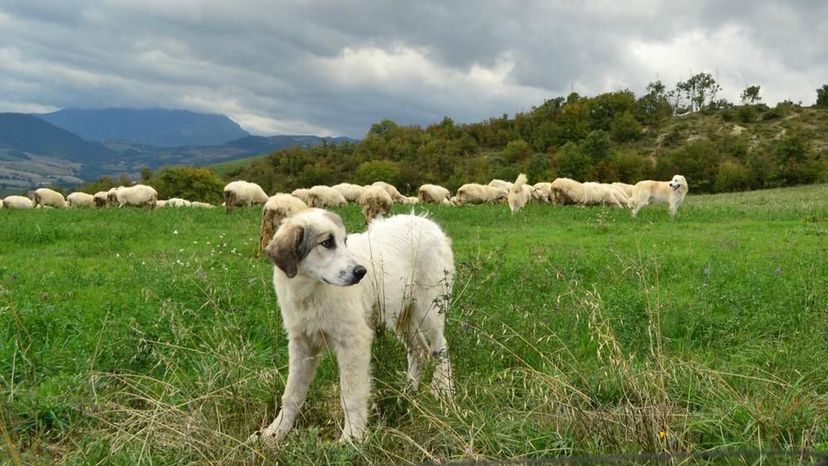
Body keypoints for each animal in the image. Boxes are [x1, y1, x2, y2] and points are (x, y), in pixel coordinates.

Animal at [254, 209, 456, 446]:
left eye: (344, 241)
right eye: (327, 243)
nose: (361, 272)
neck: (310, 290)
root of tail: (425, 221)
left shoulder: (353, 341)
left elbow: (351, 395)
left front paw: (351, 439)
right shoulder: (301, 343)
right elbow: (292, 393)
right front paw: (275, 432)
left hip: (429, 309)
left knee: (441, 347)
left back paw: (443, 390)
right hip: (400, 316)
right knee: (419, 350)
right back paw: (406, 394)